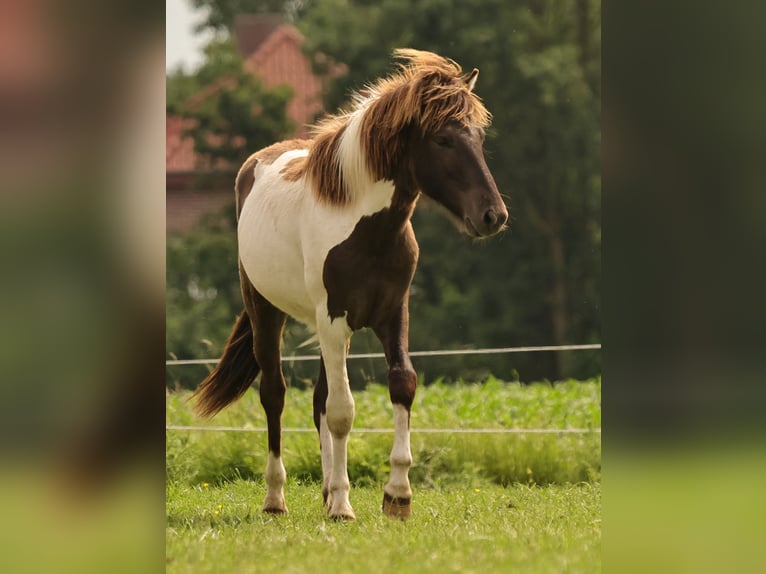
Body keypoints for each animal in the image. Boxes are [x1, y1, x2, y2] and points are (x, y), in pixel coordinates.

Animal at [193, 48, 508, 521]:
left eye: (479, 136)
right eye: (442, 140)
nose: (493, 215)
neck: (366, 229)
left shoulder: (392, 315)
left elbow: (400, 385)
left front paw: (396, 495)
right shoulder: (334, 318)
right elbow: (342, 411)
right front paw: (344, 504)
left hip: (325, 332)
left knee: (318, 398)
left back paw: (324, 490)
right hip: (268, 313)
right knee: (275, 394)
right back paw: (276, 498)